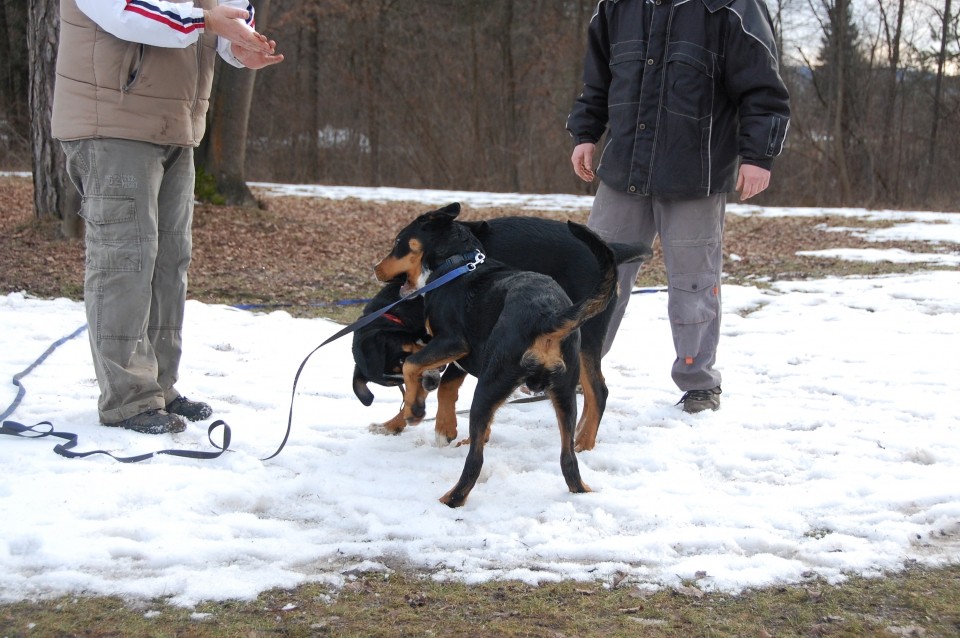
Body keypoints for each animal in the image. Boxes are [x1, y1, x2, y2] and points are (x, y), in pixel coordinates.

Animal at [348, 209, 648, 450]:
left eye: (398, 243)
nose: (375, 269)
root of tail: (612, 249)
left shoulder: (457, 343)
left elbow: (439, 383)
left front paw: (442, 426)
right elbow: (426, 384)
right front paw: (397, 422)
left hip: (588, 338)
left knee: (598, 391)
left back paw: (584, 443)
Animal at [368, 205, 624, 510]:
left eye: (398, 242)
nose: (375, 268)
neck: (457, 263)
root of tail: (547, 316)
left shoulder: (452, 342)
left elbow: (413, 366)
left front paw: (418, 413)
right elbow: (435, 382)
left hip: (490, 387)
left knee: (476, 462)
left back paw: (451, 499)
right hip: (564, 396)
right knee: (568, 460)